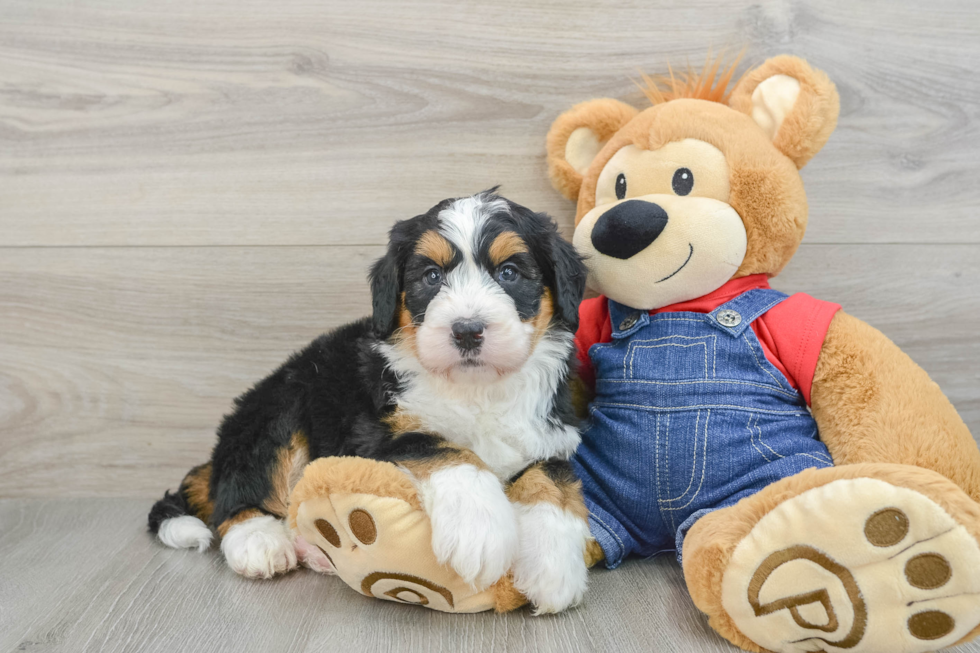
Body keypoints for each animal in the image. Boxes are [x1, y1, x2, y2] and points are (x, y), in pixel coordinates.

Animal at [146, 190, 588, 612]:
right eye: (431, 276)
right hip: (280, 408)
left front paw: (554, 567)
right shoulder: (374, 430)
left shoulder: (552, 431)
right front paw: (479, 530)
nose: (466, 330)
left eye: (509, 272)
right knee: (240, 494)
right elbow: (441, 445)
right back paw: (260, 542)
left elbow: (552, 478)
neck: (475, 388)